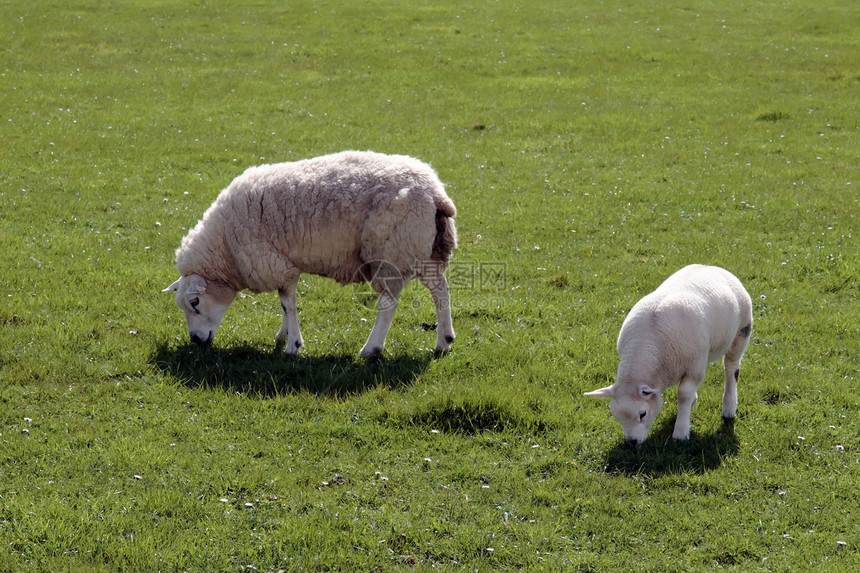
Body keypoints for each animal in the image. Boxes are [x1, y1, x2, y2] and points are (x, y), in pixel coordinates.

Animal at [162, 152, 456, 358]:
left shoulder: (274, 262)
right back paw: (444, 342)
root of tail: (435, 192)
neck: (226, 248)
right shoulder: (284, 264)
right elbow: (285, 302)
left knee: (388, 303)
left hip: (391, 251)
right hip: (424, 249)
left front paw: (293, 345)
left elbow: (287, 303)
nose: (195, 340)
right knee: (440, 290)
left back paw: (371, 349)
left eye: (195, 302)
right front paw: (283, 335)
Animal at [584, 264, 752, 446]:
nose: (632, 443)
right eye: (616, 416)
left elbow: (683, 395)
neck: (648, 345)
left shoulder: (694, 366)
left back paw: (729, 407)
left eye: (643, 414)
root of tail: (710, 266)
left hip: (742, 331)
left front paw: (681, 432)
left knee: (731, 368)